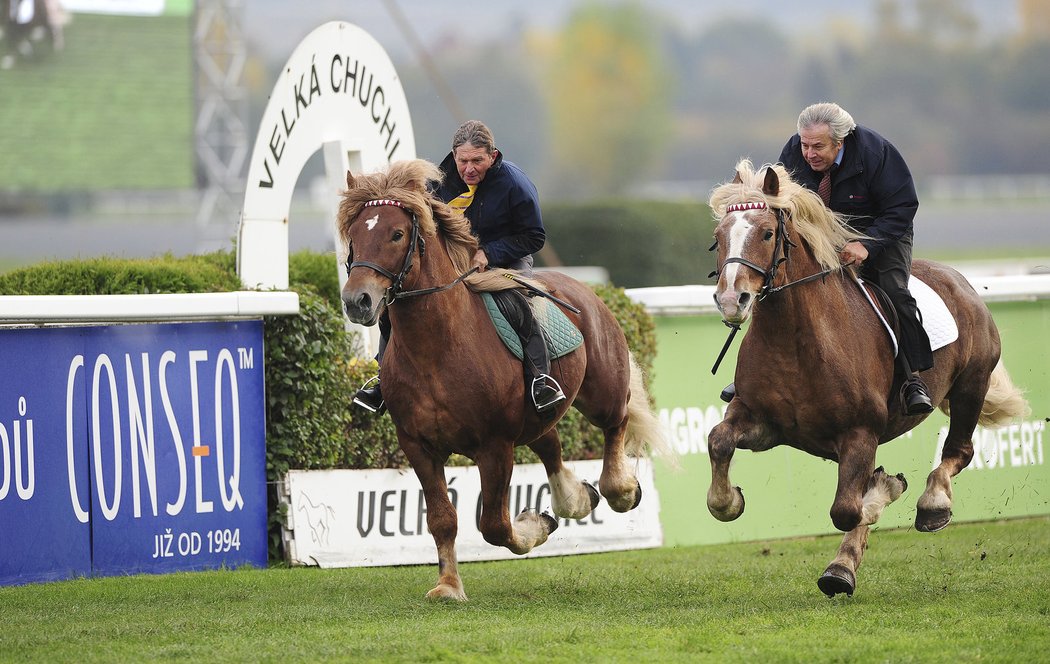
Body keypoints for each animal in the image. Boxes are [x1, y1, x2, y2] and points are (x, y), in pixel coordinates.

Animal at [336, 159, 663, 600]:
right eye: (353, 235)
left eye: (397, 234)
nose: (358, 301)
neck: (435, 348)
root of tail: (587, 290)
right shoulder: (418, 446)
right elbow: (442, 519)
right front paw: (448, 586)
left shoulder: (495, 446)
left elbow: (493, 524)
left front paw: (531, 529)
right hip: (538, 415)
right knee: (551, 444)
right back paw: (575, 499)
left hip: (601, 395)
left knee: (616, 423)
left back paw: (619, 489)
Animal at [701, 159, 1029, 596]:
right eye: (719, 236)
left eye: (768, 232)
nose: (730, 300)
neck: (796, 339)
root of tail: (961, 281)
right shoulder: (762, 421)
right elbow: (719, 444)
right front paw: (730, 500)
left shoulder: (860, 433)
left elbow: (847, 510)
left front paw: (883, 495)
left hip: (970, 387)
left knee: (958, 452)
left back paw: (930, 505)